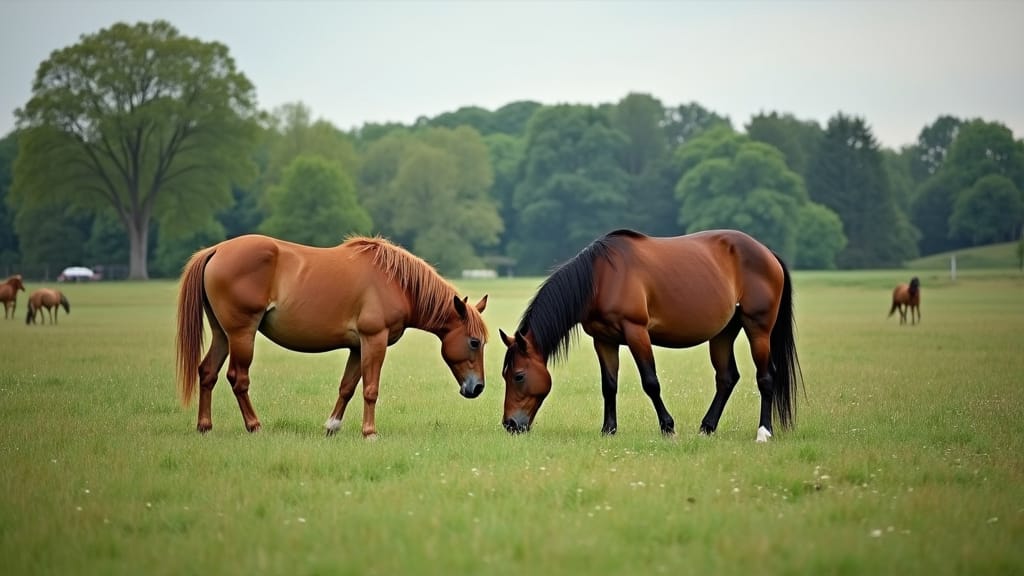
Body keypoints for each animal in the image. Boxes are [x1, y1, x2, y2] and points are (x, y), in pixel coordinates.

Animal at [175, 234, 489, 437]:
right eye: (474, 342)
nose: (477, 388)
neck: (396, 282)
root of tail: (216, 250)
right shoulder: (374, 340)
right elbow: (370, 389)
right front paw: (369, 432)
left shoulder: (358, 347)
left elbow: (347, 388)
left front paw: (332, 426)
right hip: (242, 334)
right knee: (238, 379)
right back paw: (254, 426)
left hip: (223, 334)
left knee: (208, 372)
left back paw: (204, 426)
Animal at [499, 229, 802, 442]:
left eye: (518, 376)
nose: (510, 424)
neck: (601, 278)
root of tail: (767, 252)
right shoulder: (604, 341)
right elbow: (609, 385)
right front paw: (608, 429)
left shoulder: (636, 332)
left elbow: (651, 382)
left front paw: (668, 427)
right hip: (724, 332)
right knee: (727, 378)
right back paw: (707, 427)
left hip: (758, 328)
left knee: (766, 377)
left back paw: (763, 432)